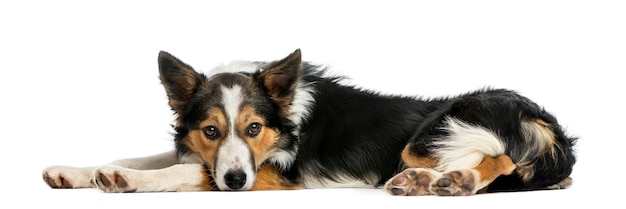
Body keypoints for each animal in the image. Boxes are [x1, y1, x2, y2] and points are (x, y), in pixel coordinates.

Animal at [42, 49, 576, 196]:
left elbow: (181, 171)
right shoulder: (211, 154)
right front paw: (74, 171)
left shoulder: (270, 173)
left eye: (254, 129)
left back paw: (449, 180)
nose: (234, 182)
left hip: (442, 128)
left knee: (501, 161)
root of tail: (539, 113)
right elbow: (143, 154)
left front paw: (121, 179)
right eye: (211, 130)